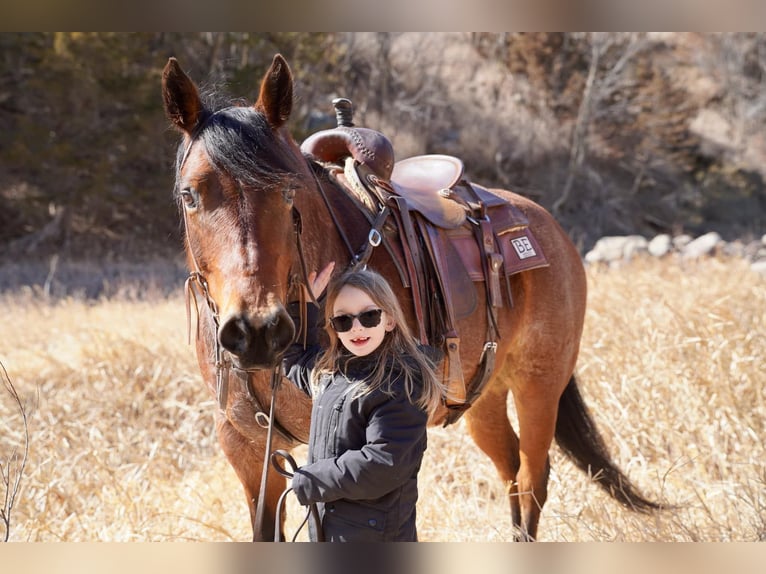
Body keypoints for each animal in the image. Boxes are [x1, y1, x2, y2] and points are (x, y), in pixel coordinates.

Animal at [160, 51, 660, 544]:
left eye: (288, 192)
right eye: (189, 195)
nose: (257, 331)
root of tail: (547, 224)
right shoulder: (249, 454)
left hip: (539, 384)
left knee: (531, 479)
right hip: (486, 396)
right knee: (511, 472)